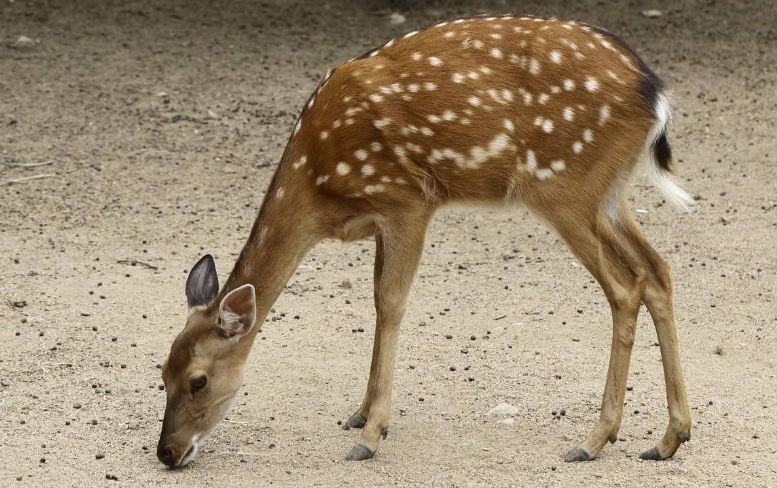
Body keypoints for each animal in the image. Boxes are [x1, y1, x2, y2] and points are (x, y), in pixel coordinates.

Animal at [156, 15, 692, 468]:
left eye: (198, 380)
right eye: (161, 372)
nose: (167, 452)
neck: (318, 185)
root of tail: (655, 93)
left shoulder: (408, 202)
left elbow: (392, 303)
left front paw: (370, 436)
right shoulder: (377, 222)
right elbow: (375, 302)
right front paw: (360, 412)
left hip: (564, 187)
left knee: (625, 286)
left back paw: (594, 440)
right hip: (610, 194)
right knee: (658, 271)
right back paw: (669, 438)